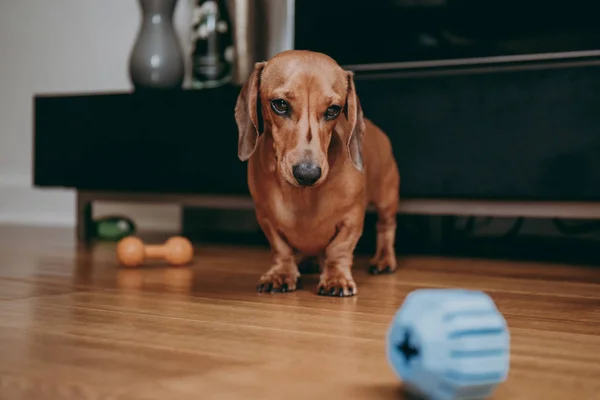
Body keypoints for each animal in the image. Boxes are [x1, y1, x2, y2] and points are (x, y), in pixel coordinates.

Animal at [234, 50, 398, 296]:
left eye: (333, 110)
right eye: (280, 104)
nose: (307, 174)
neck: (303, 196)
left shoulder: (352, 219)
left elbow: (338, 249)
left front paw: (336, 279)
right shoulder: (266, 219)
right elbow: (281, 249)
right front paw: (281, 274)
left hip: (386, 199)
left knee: (385, 227)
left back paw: (383, 260)